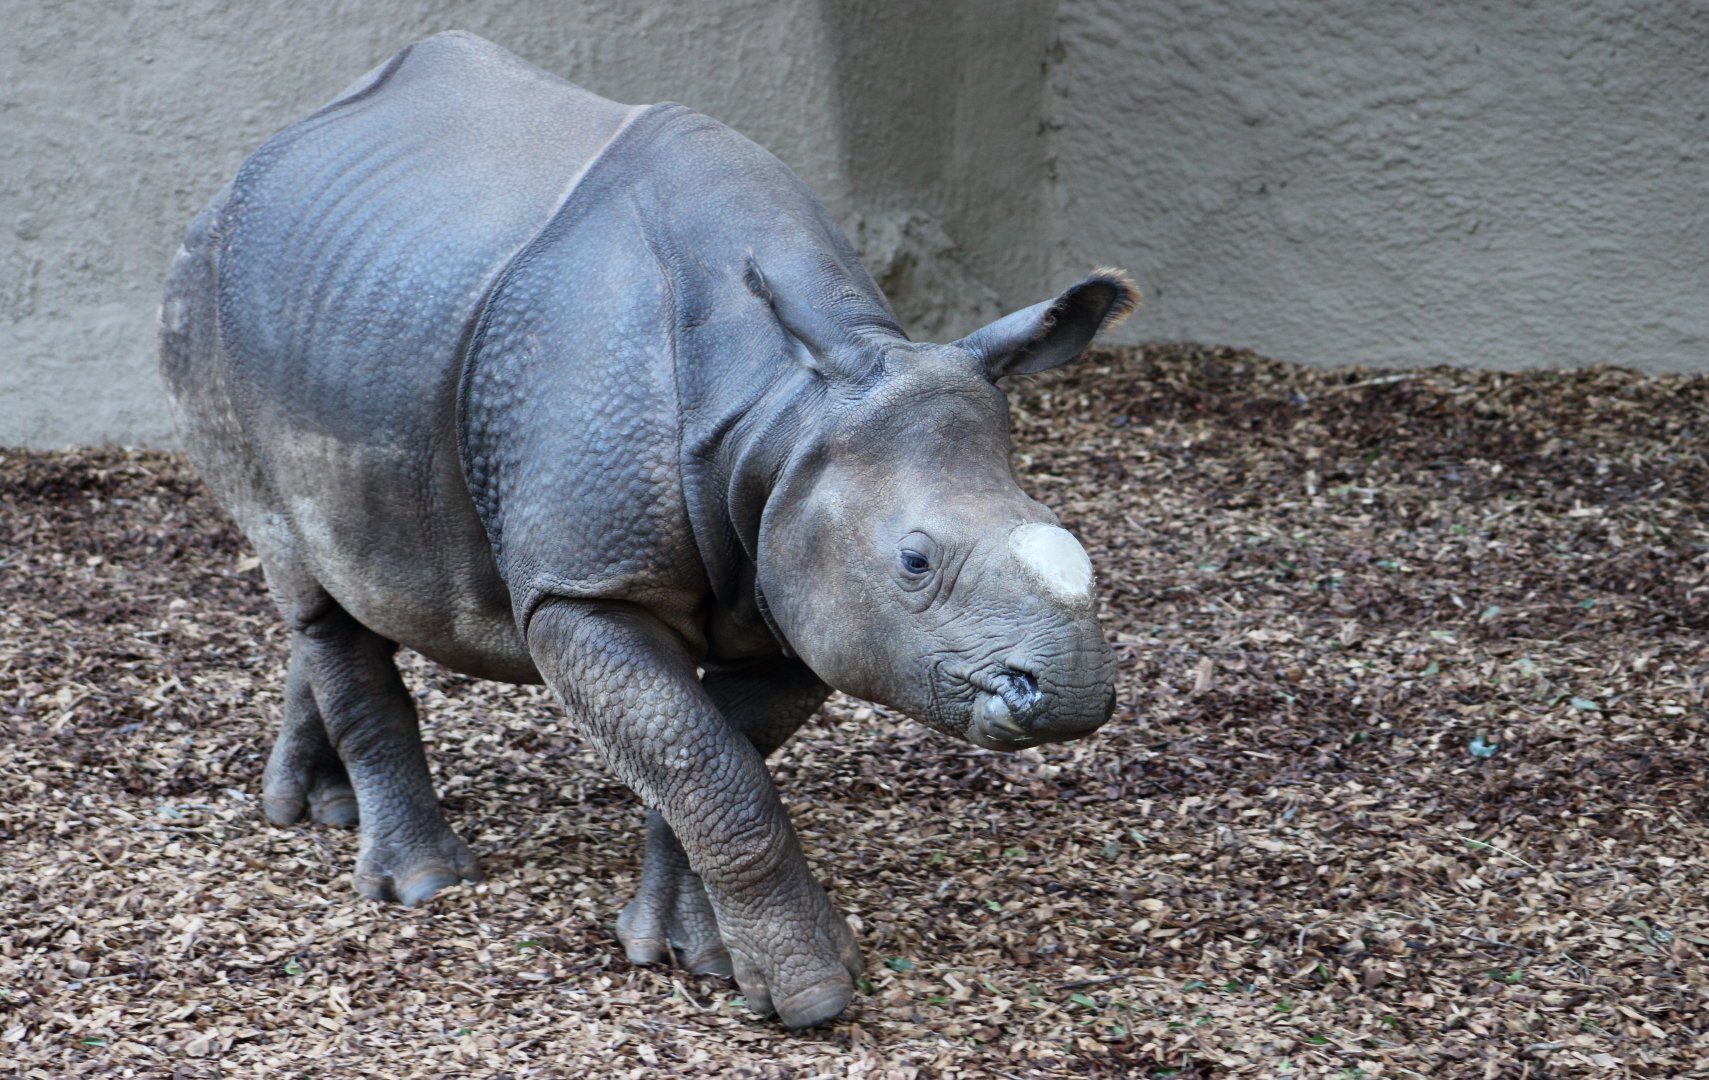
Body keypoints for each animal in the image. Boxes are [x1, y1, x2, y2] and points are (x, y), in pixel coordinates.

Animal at [159, 31, 1134, 1029]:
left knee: (338, 572)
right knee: (301, 568)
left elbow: (704, 757)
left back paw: (314, 811)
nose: (1069, 694)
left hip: (350, 304)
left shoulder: (794, 581)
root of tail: (259, 158)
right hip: (203, 291)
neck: (784, 409)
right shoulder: (587, 589)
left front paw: (691, 953)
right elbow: (710, 766)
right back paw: (422, 884)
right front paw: (813, 995)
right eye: (914, 561)